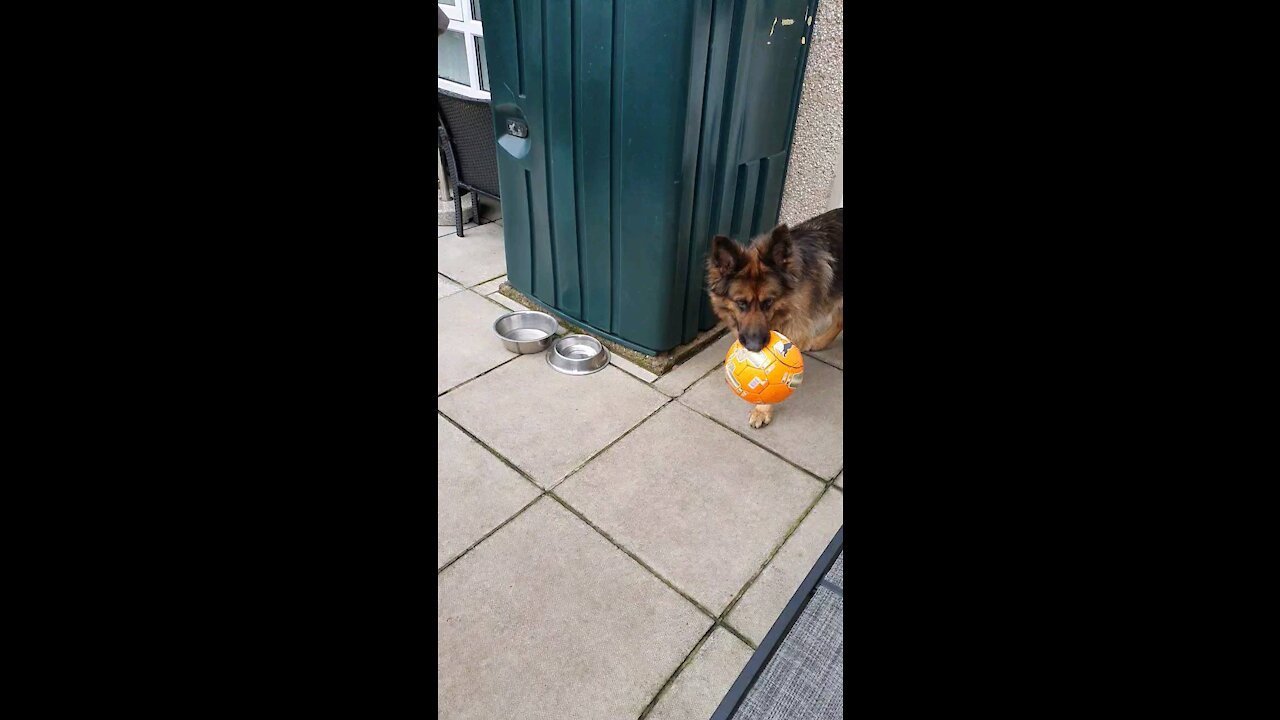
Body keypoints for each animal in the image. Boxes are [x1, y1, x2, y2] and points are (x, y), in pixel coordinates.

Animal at [706, 207, 844, 427]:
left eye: (768, 302)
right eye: (741, 303)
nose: (754, 347)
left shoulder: (794, 330)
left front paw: (762, 409)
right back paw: (820, 342)